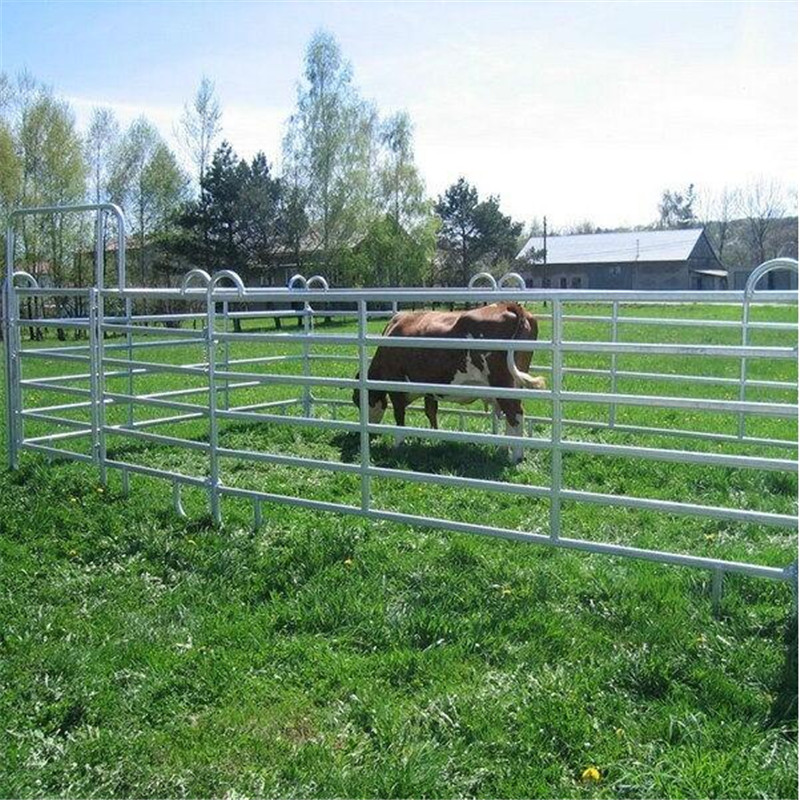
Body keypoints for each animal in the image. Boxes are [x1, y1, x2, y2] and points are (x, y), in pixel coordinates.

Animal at [352, 302, 546, 463]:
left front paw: (398, 444)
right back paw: (503, 449)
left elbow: (400, 417)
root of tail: (507, 305)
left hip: (502, 384)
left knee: (515, 414)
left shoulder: (396, 386)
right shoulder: (429, 387)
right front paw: (434, 437)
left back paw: (516, 457)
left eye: (357, 400)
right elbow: (431, 412)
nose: (368, 433)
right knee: (511, 416)